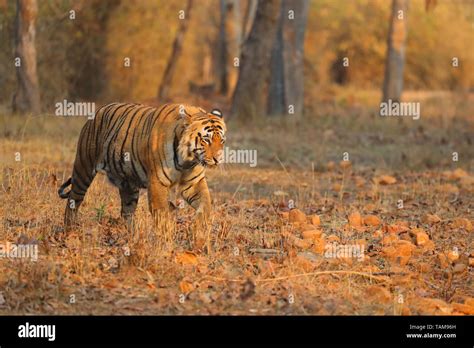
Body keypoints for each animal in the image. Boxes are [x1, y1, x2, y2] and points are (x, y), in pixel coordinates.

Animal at [57, 101, 228, 231]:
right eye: (206, 139)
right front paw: (165, 244)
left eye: (222, 140)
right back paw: (69, 231)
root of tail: (97, 112)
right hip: (83, 169)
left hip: (128, 185)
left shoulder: (194, 183)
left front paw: (200, 234)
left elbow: (205, 206)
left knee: (127, 212)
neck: (187, 160)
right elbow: (162, 216)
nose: (218, 158)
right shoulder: (157, 184)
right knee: (73, 201)